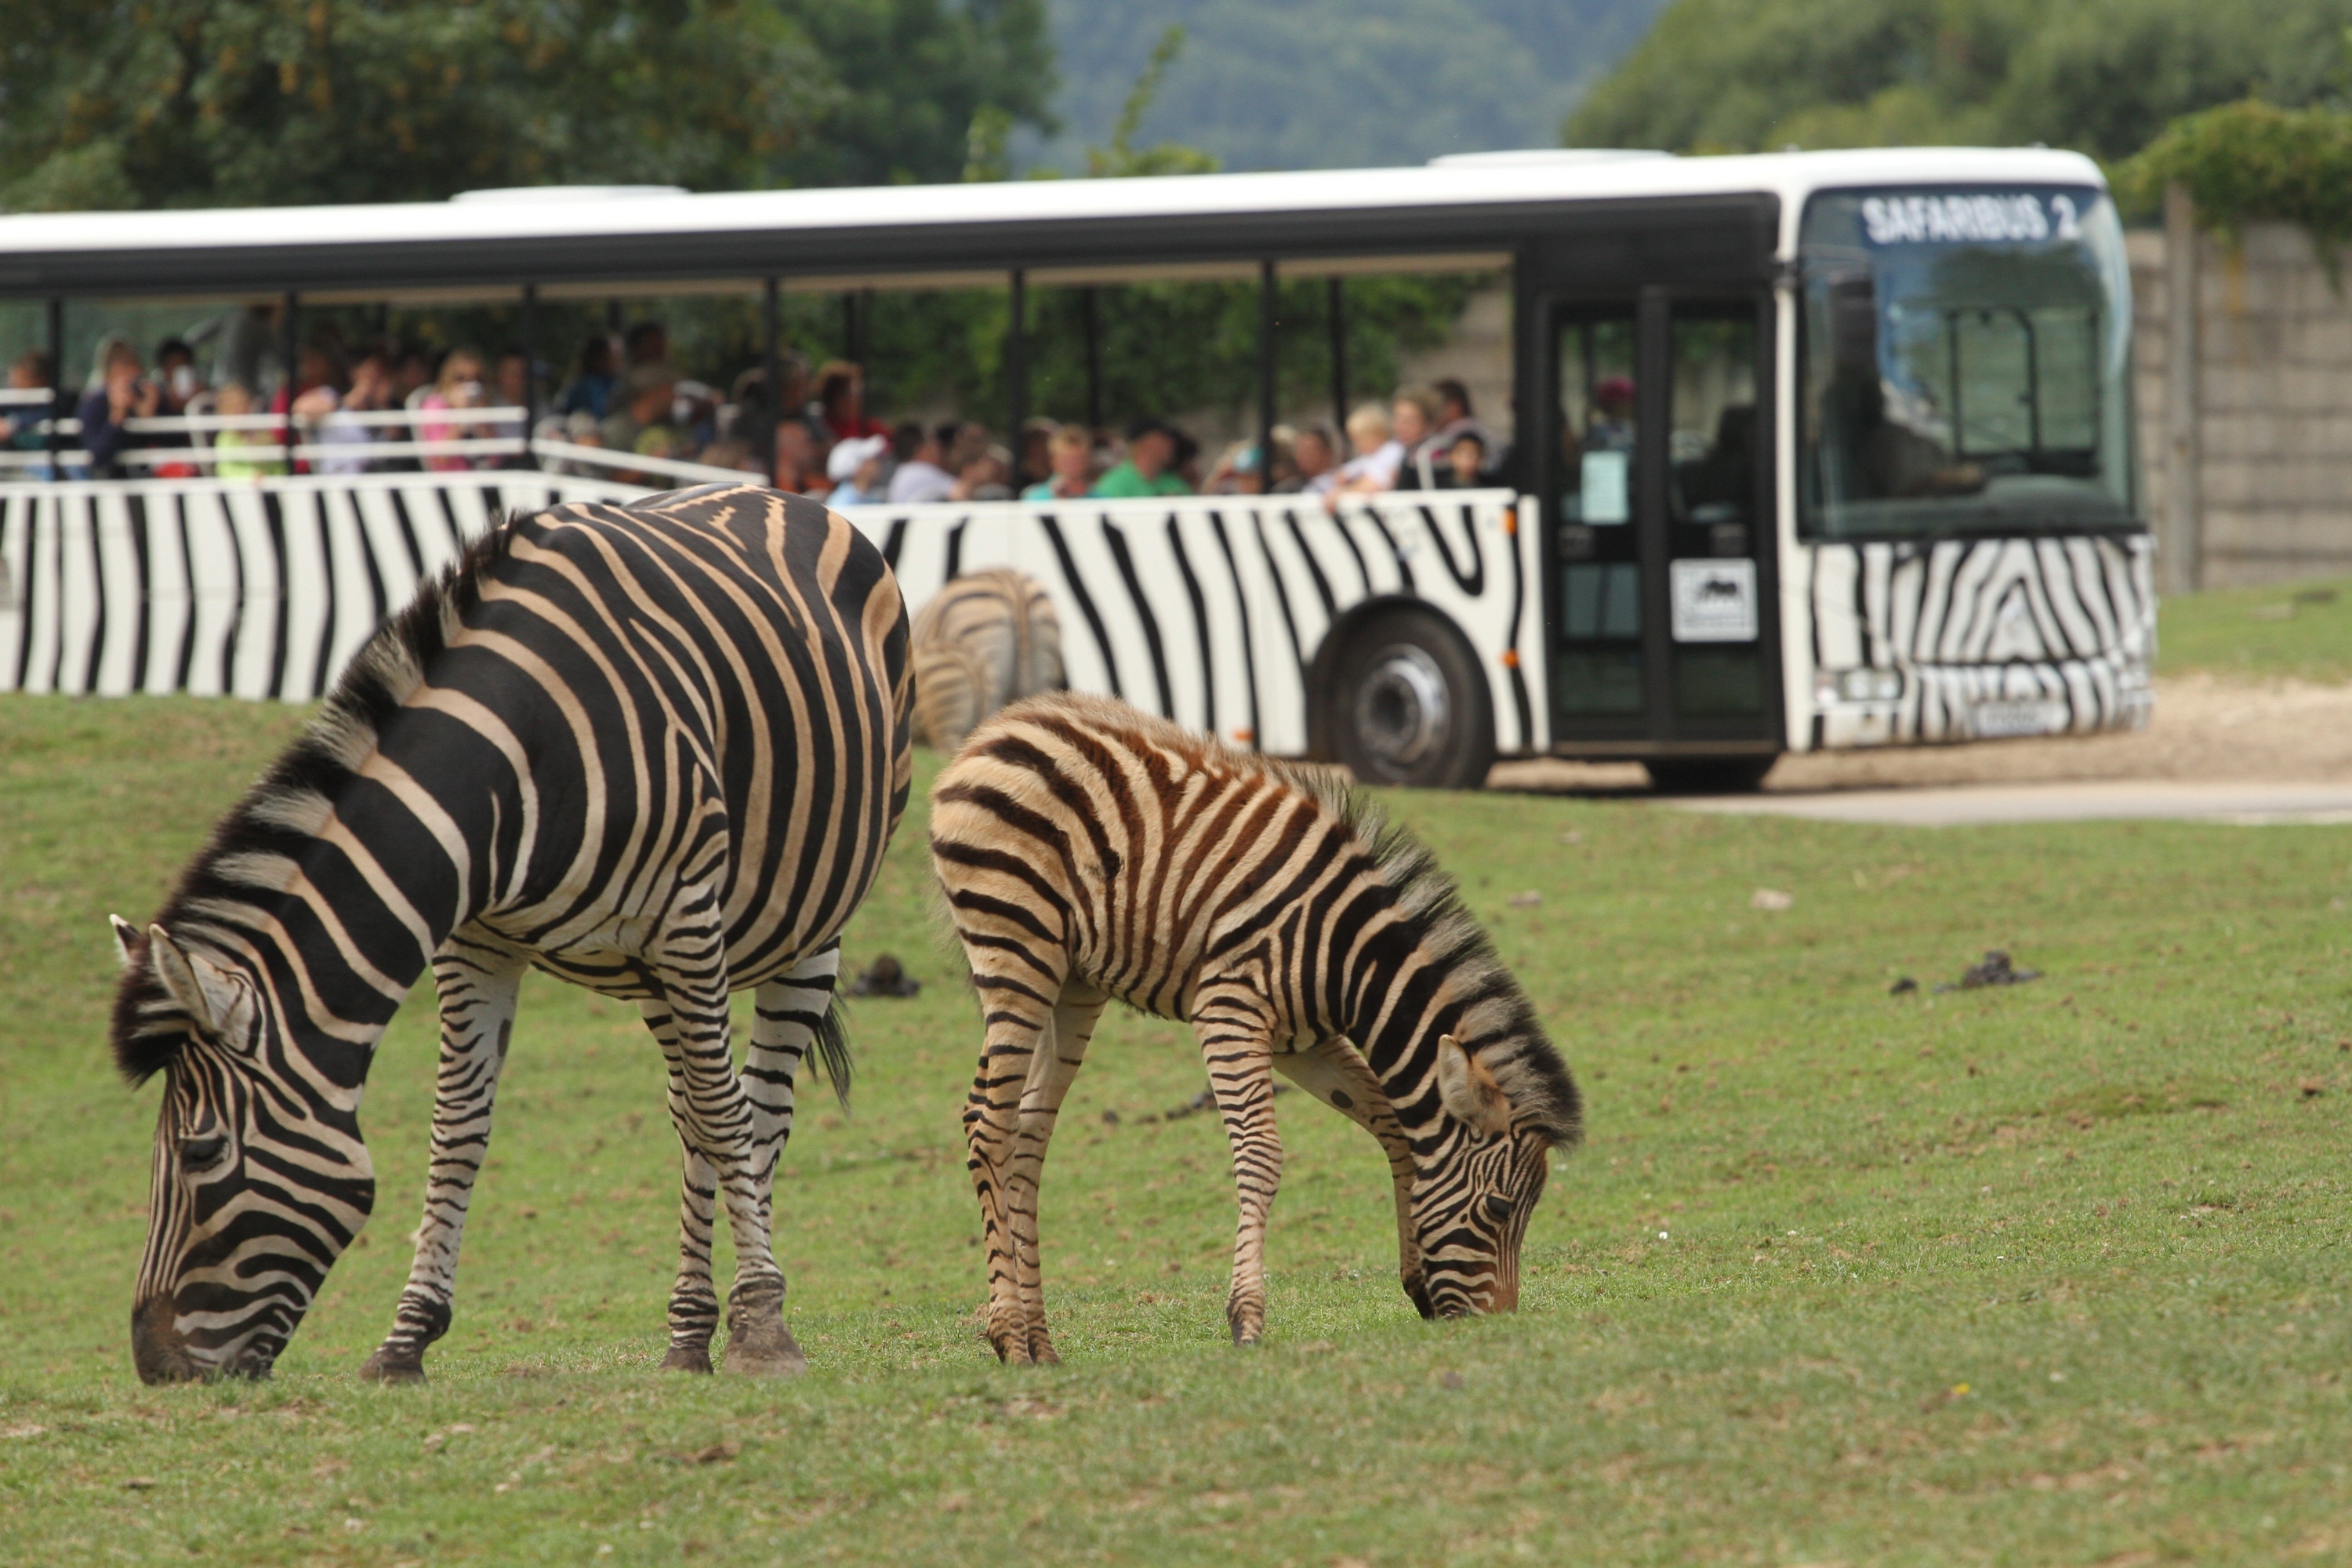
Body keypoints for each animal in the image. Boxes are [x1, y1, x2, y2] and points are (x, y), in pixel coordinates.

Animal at [108, 485, 912, 1384]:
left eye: (202, 1151)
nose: (158, 1367)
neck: (513, 758)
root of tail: (776, 493)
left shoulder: (684, 915)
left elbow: (728, 1111)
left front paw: (766, 1327)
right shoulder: (477, 941)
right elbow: (458, 1128)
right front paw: (406, 1338)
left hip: (803, 926)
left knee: (755, 1106)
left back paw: (742, 1316)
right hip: (650, 968)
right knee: (690, 1115)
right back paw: (687, 1333)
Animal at [927, 691, 1580, 1360]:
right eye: (1499, 1208)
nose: (1497, 1325)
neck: (1348, 959)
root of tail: (999, 727)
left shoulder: (1303, 1039)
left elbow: (1393, 1128)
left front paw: (1417, 1281)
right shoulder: (1229, 1006)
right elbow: (1262, 1154)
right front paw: (1246, 1320)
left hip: (1072, 983)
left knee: (1029, 1134)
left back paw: (1041, 1343)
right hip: (1017, 951)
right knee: (987, 1124)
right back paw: (1010, 1338)